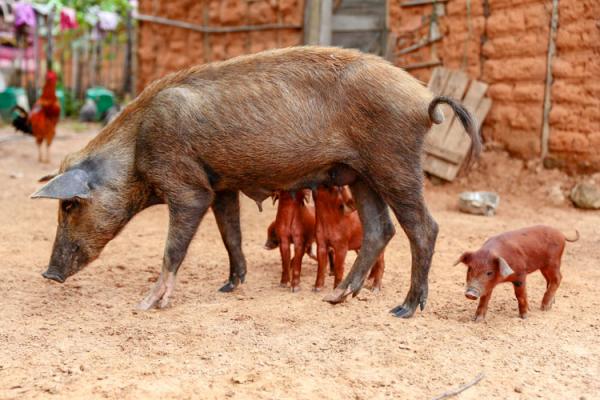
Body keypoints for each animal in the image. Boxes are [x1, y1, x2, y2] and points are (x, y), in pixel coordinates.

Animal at [34, 46, 482, 316]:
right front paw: (228, 287)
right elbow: (230, 234)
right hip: (361, 174)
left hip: (394, 163)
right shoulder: (221, 186)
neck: (136, 151)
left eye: (69, 204)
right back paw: (337, 297)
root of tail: (423, 100)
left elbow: (174, 245)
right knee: (380, 229)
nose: (48, 274)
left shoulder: (188, 186)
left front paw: (147, 304)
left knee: (424, 227)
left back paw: (405, 309)